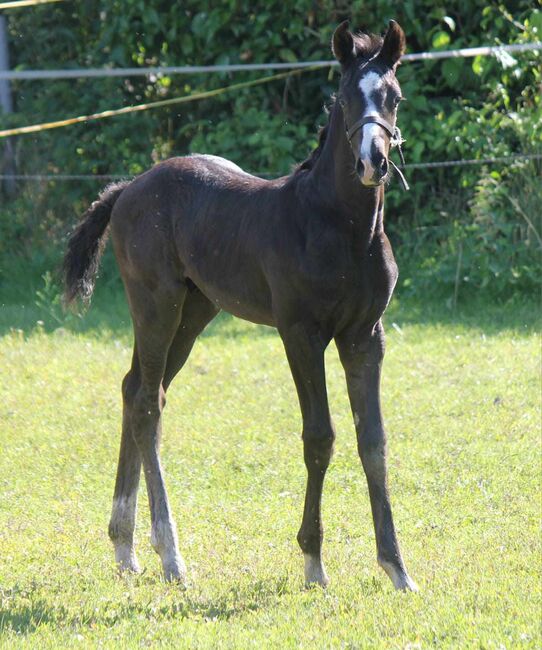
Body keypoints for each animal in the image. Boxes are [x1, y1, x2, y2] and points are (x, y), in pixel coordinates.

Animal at [65, 20, 420, 588]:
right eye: (345, 97)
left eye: (394, 97)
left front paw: (396, 568)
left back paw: (125, 547)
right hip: (156, 305)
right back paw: (170, 555)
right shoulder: (301, 335)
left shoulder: (366, 336)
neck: (343, 228)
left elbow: (374, 442)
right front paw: (313, 563)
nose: (373, 162)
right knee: (145, 403)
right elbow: (319, 437)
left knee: (139, 389)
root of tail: (126, 189)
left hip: (195, 313)